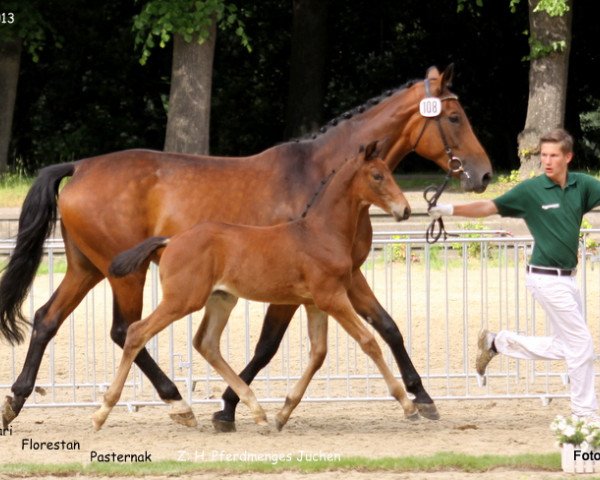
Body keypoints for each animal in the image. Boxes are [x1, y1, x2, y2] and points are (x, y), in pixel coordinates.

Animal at [94, 143, 418, 432]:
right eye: (377, 175)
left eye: (389, 172)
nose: (405, 210)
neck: (320, 233)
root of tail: (170, 240)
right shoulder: (332, 298)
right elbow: (369, 341)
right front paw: (408, 404)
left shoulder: (316, 303)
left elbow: (318, 353)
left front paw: (284, 412)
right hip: (183, 300)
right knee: (137, 332)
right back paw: (104, 412)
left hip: (222, 299)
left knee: (206, 343)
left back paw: (256, 410)